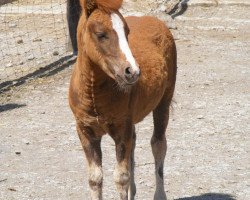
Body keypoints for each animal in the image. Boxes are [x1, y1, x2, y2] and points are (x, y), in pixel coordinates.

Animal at [69, 0, 178, 200]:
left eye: (127, 32)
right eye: (101, 34)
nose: (132, 71)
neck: (94, 96)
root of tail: (154, 19)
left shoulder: (121, 128)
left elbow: (121, 178)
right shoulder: (85, 130)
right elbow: (95, 178)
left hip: (163, 103)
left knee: (158, 144)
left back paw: (159, 194)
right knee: (133, 145)